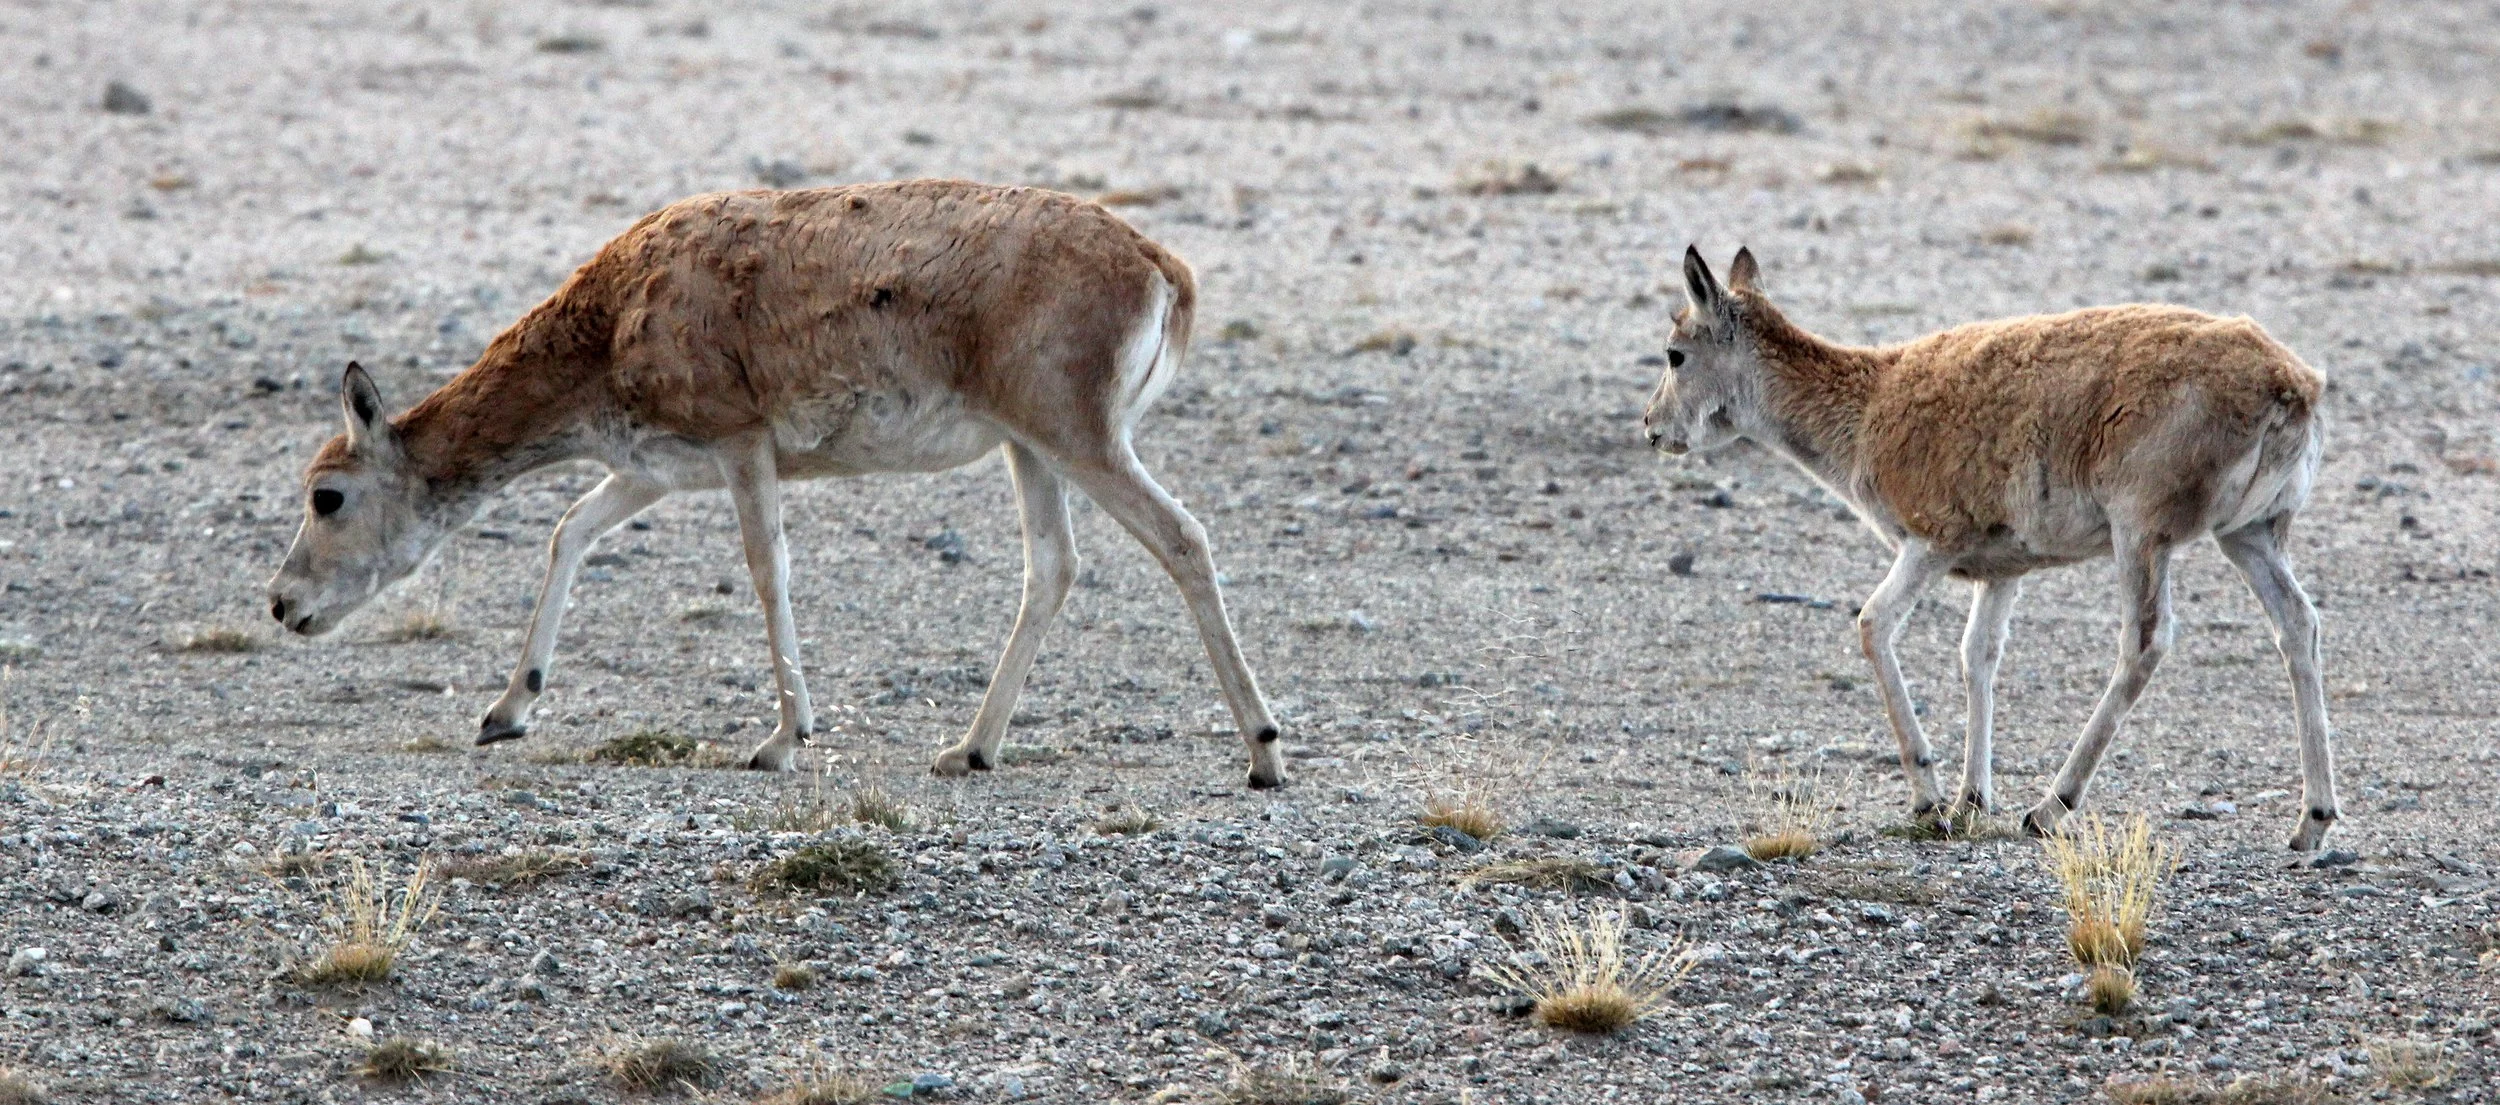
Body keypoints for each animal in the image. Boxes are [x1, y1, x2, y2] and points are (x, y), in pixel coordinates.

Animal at [265, 180, 1288, 788]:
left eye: (327, 494)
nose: (280, 601)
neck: (608, 329)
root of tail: (1166, 271)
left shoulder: (740, 441)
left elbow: (767, 568)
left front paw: (781, 737)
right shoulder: (654, 468)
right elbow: (569, 530)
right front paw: (505, 710)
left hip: (1079, 434)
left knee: (1183, 535)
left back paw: (1265, 751)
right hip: (1028, 444)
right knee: (1054, 565)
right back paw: (969, 746)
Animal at [1641, 247, 2339, 850]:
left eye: (1675, 354)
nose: (1652, 428)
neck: (1867, 406)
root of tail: (2293, 385)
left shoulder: (1928, 542)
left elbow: (1873, 624)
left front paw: (1928, 798)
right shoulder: (2002, 570)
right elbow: (1978, 655)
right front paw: (1971, 797)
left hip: (2141, 532)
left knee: (2146, 643)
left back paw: (2051, 806)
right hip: (2250, 533)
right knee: (2297, 624)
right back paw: (2312, 821)